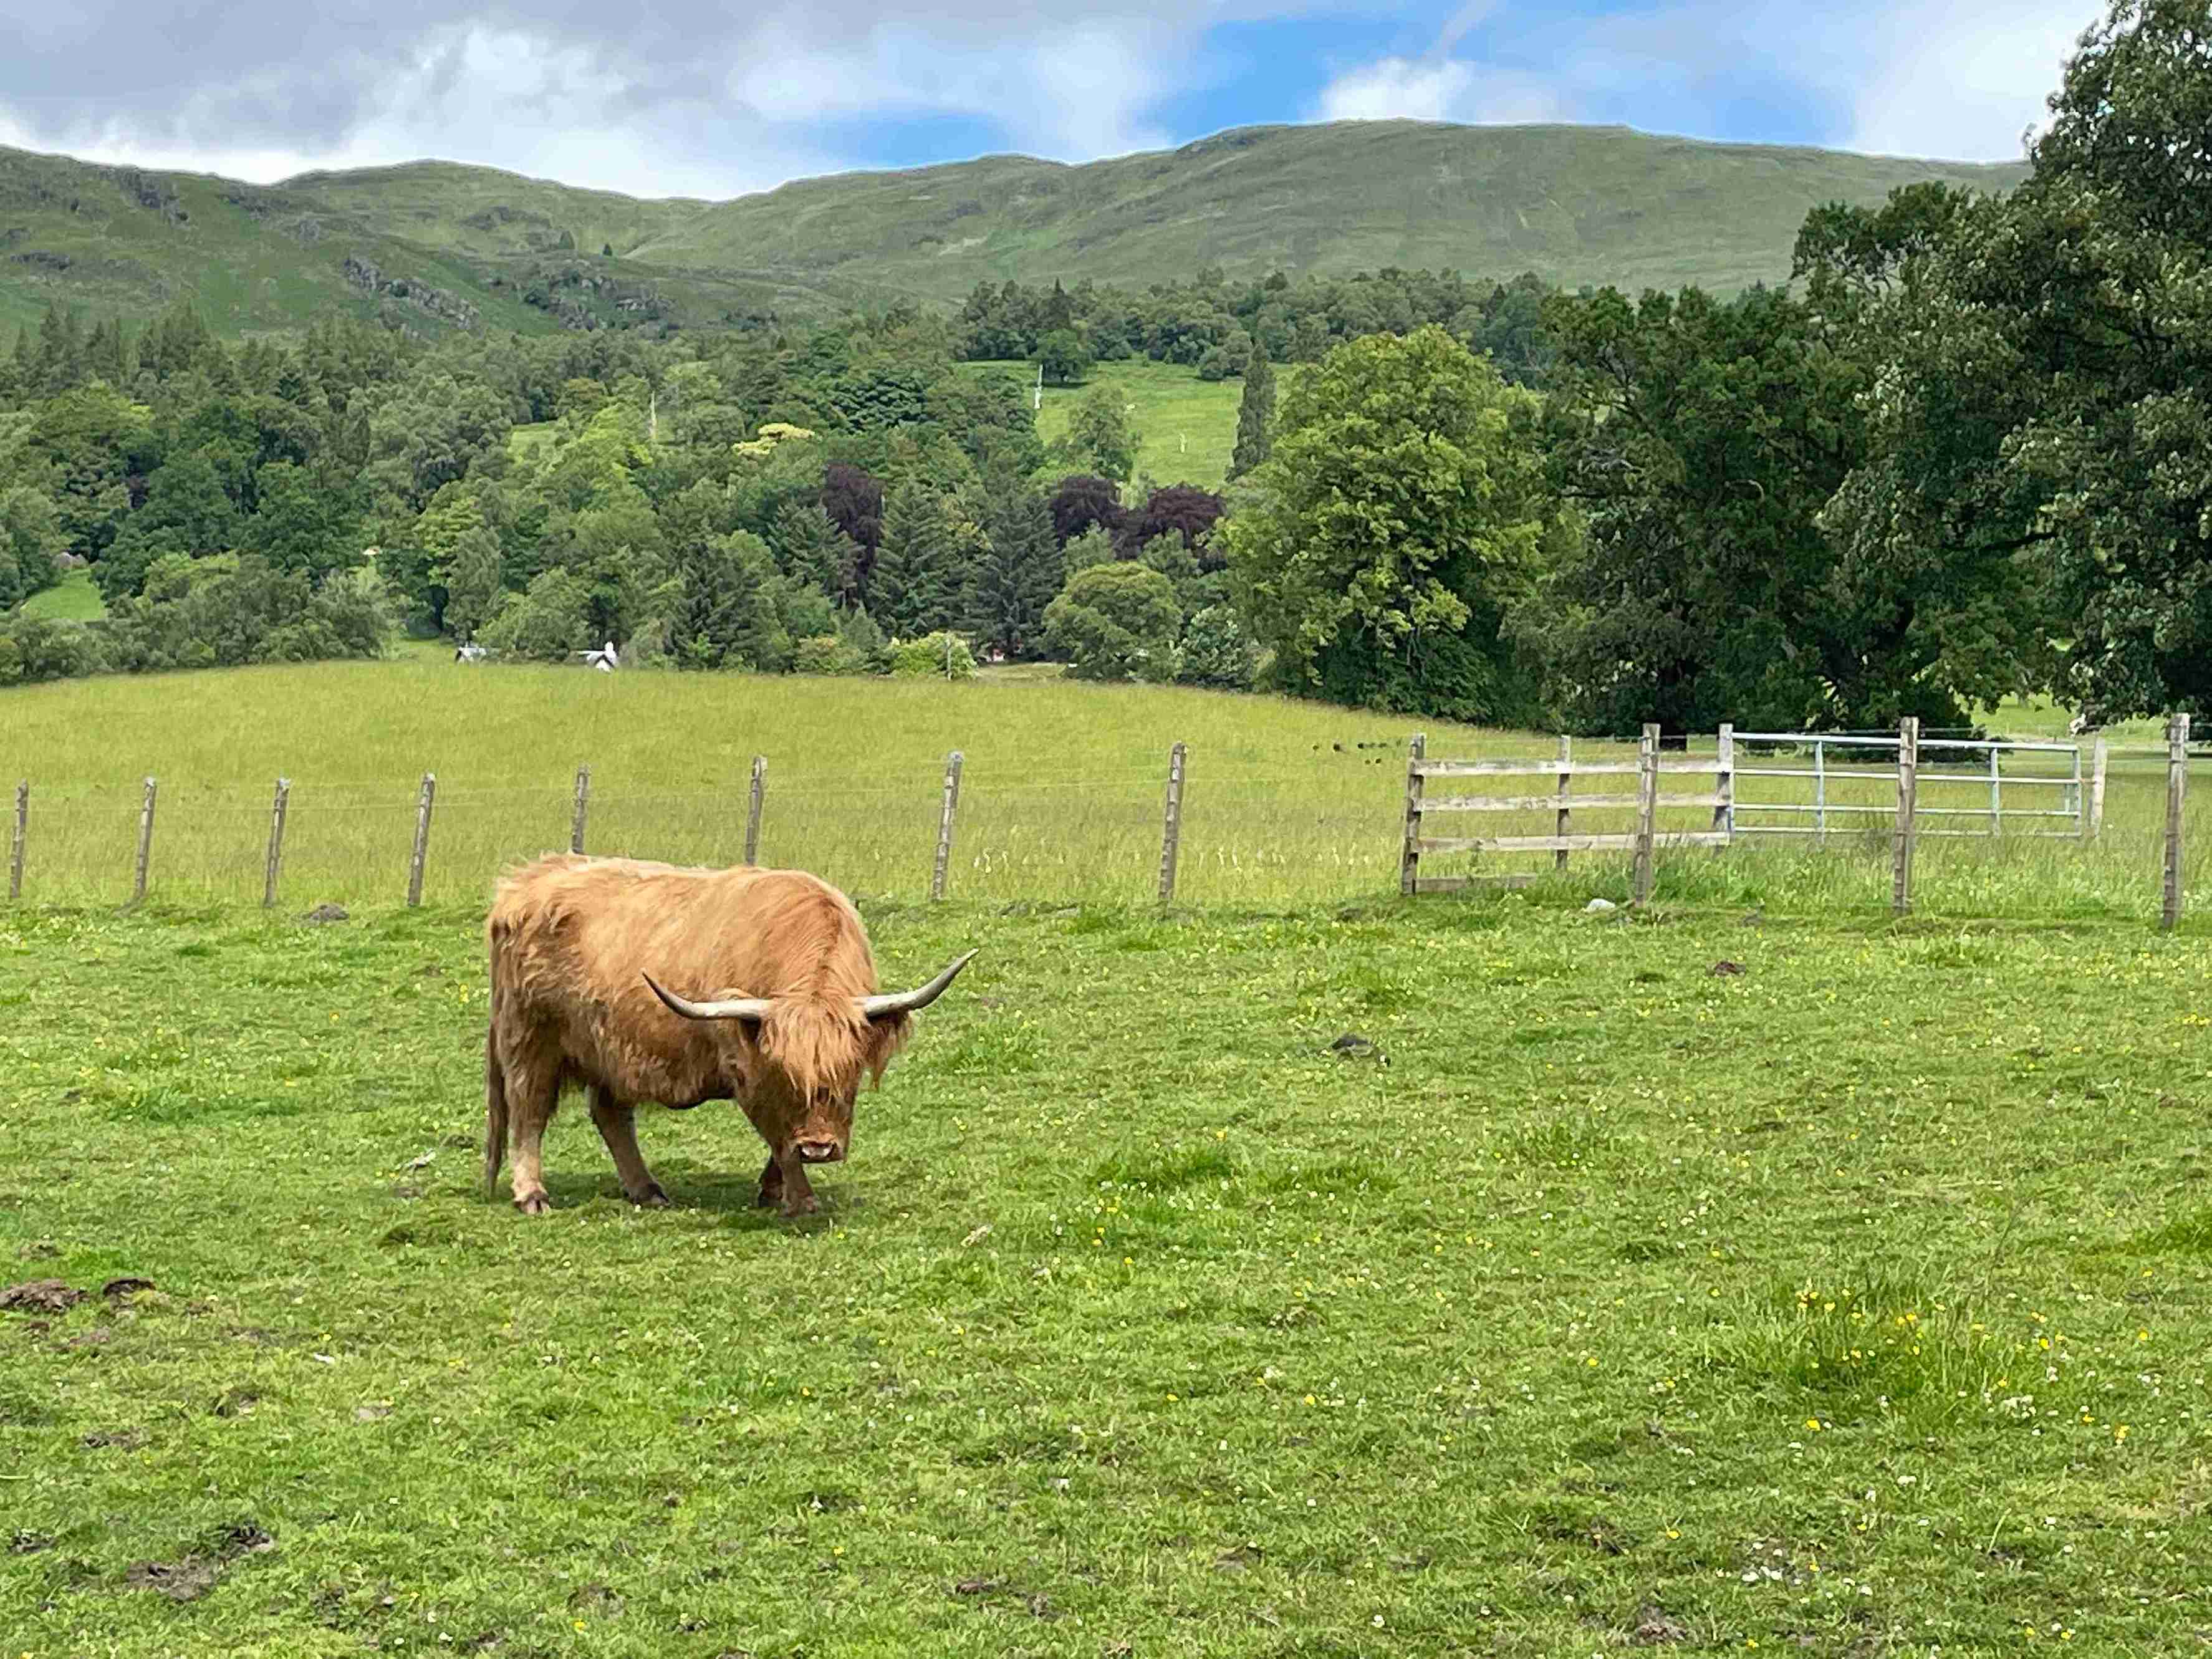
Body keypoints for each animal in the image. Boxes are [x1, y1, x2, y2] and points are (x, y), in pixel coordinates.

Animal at [484, 853, 973, 1217]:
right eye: (786, 1076)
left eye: (847, 1074)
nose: (818, 1148)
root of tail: (523, 883)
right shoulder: (748, 1068)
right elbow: (777, 1133)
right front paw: (801, 1198)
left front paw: (774, 1190)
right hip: (530, 1039)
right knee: (528, 1112)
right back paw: (532, 1195)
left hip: (611, 1049)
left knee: (610, 1115)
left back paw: (648, 1190)